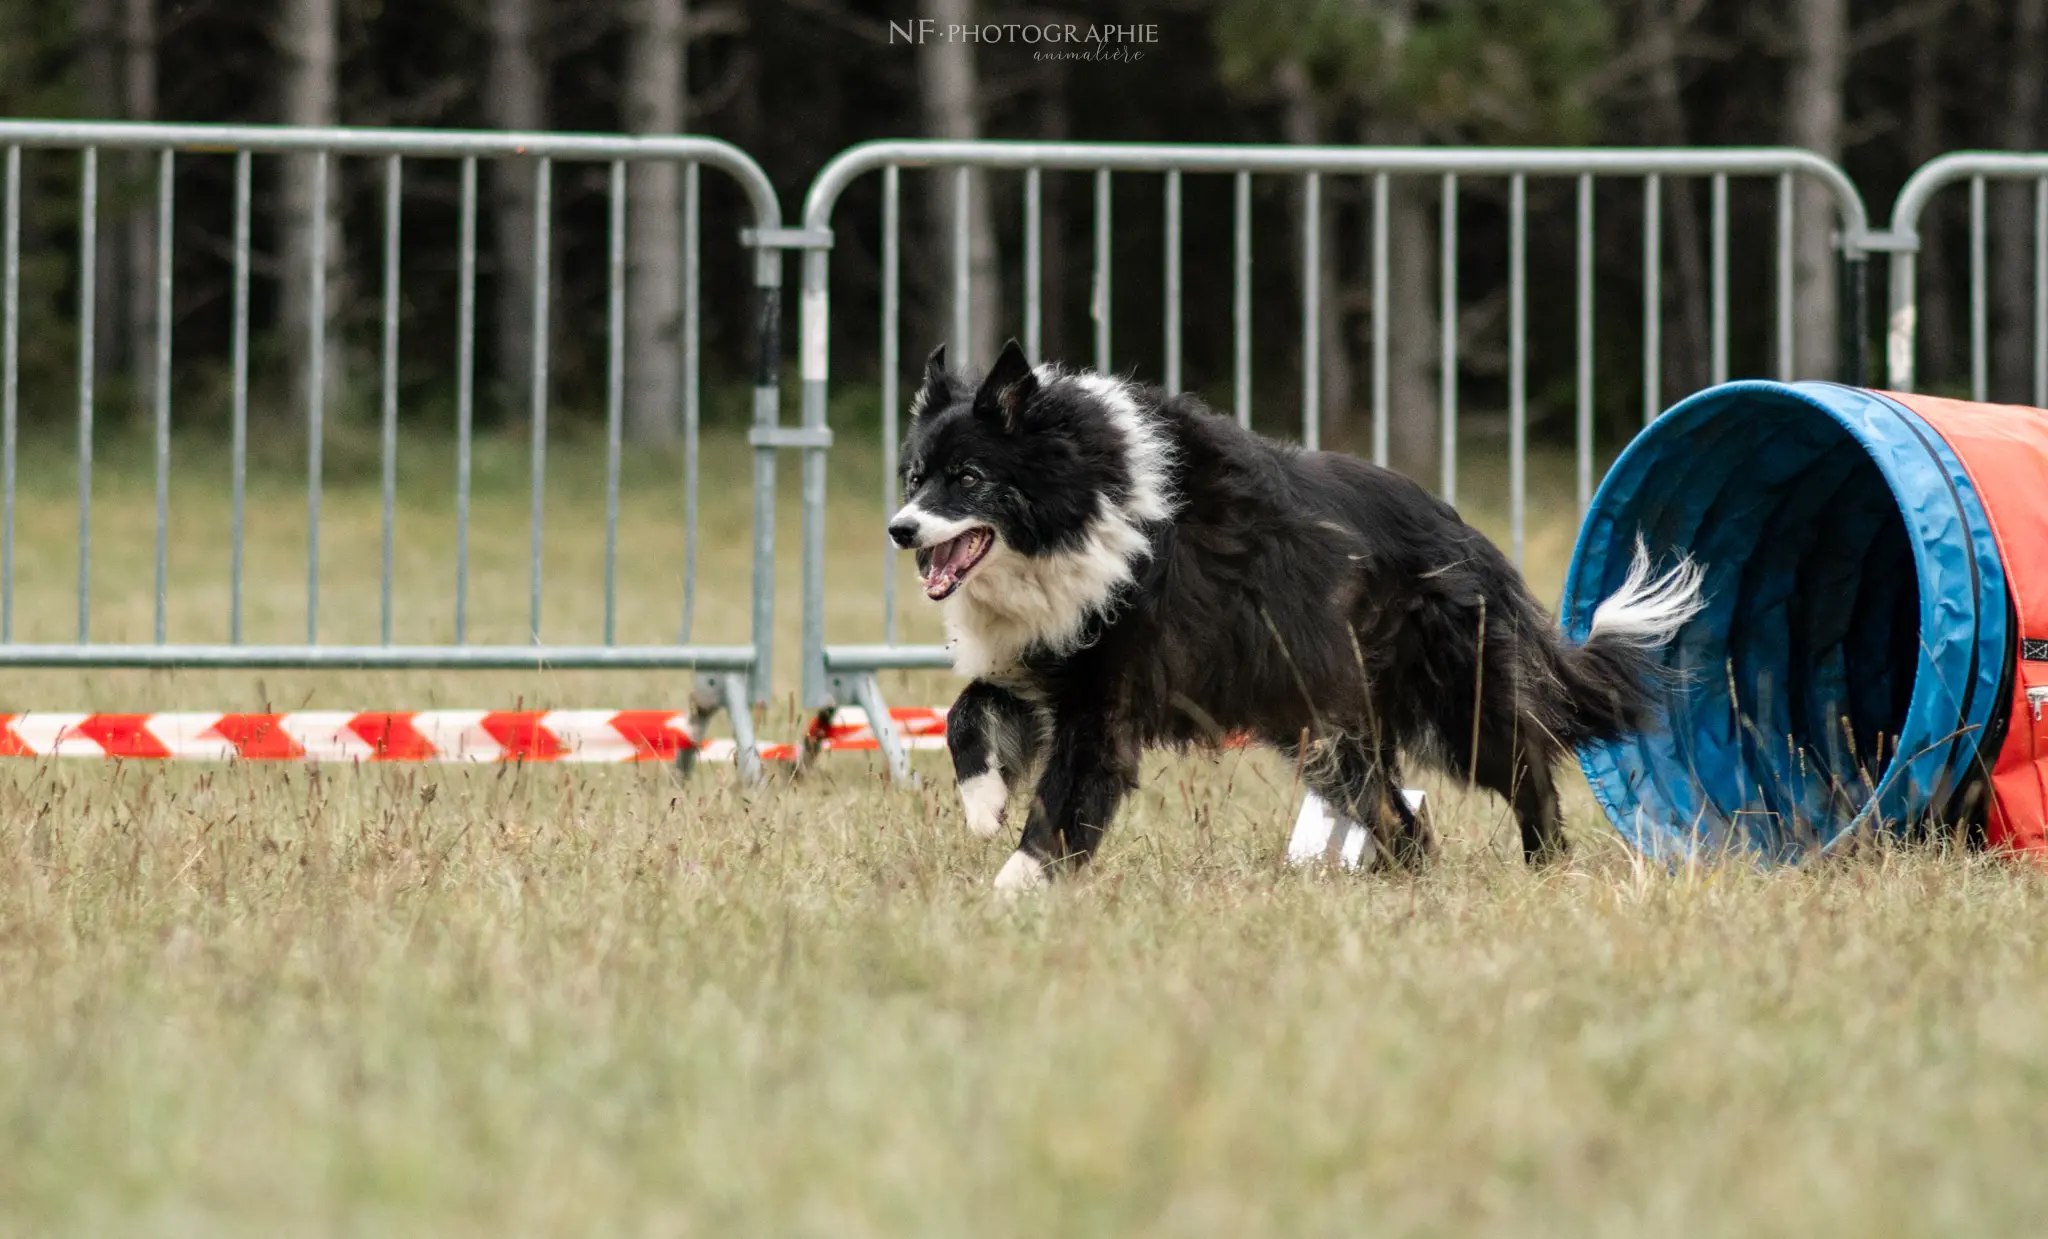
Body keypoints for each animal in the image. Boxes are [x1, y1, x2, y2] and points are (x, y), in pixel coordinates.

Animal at [880, 339, 1695, 888]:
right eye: (916, 476)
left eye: (970, 477)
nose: (900, 530)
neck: (1083, 499)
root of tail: (1467, 534)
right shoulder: (1048, 649)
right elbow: (965, 713)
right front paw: (983, 806)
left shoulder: (1106, 691)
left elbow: (1065, 792)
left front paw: (1015, 886)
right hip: (1325, 727)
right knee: (1396, 813)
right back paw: (1399, 878)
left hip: (1447, 697)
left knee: (1525, 765)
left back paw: (1546, 863)